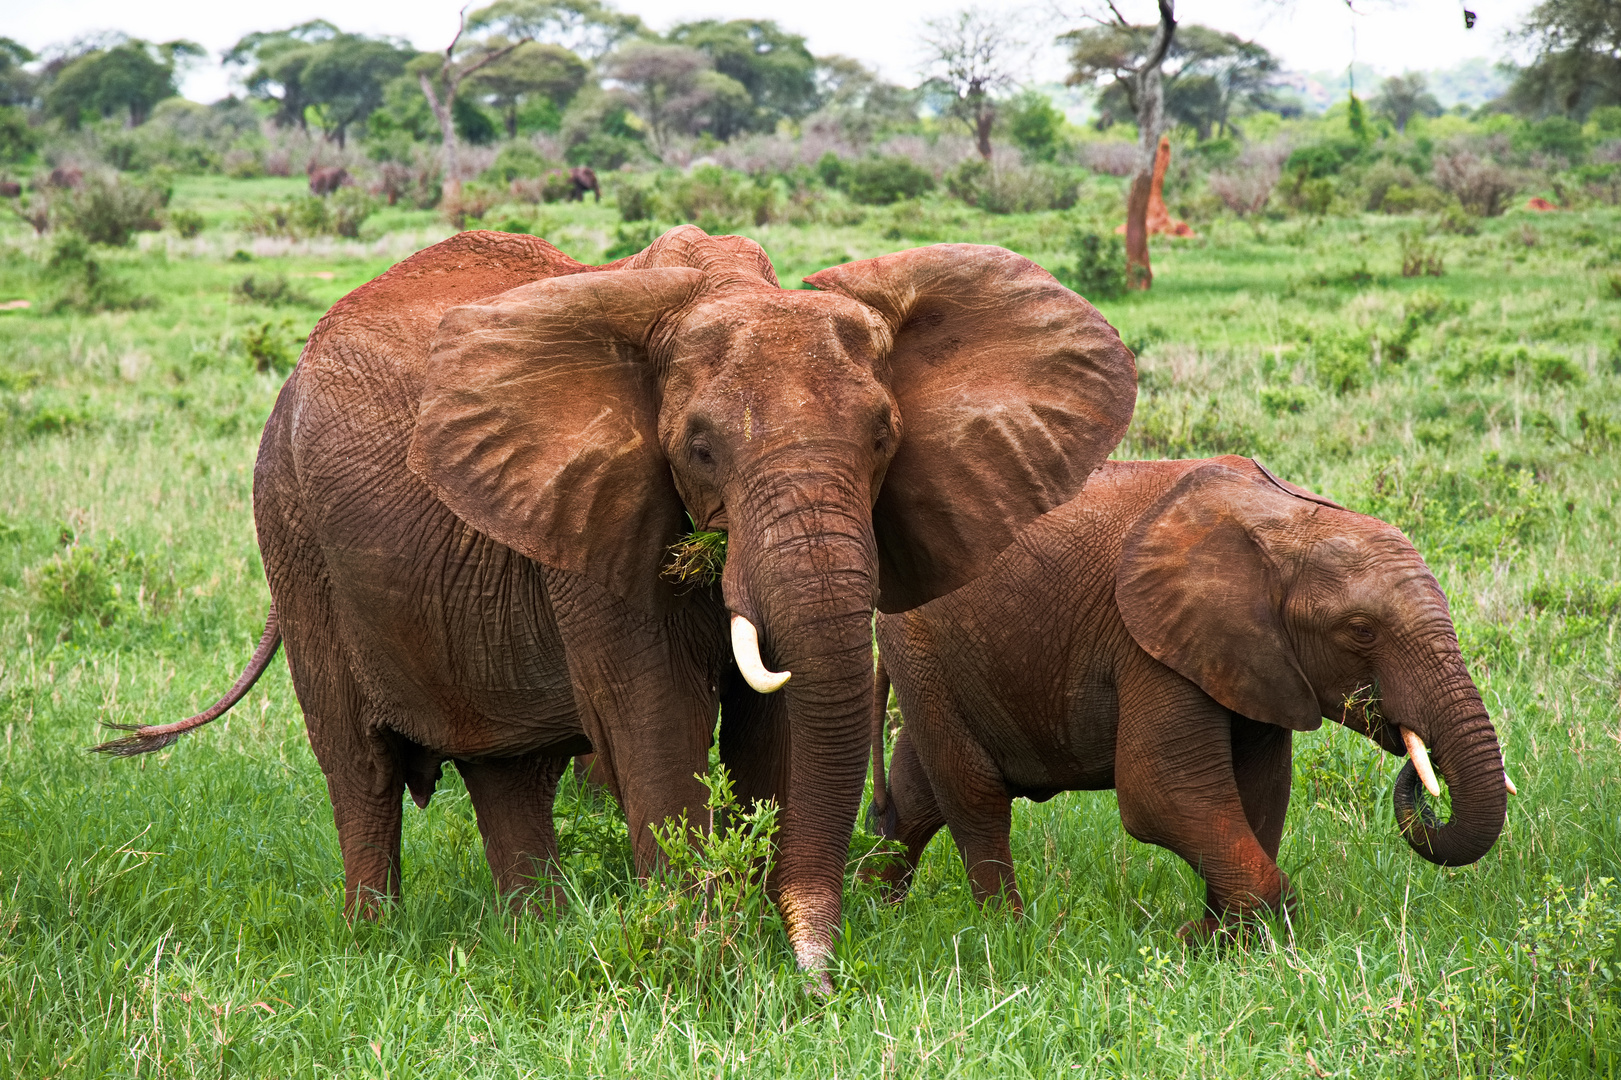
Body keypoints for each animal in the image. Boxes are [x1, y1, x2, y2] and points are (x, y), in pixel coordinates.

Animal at [98, 222, 1141, 979]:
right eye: (701, 448)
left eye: (884, 437)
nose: (823, 972)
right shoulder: (594, 519)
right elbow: (654, 716)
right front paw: (707, 957)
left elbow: (770, 732)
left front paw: (757, 947)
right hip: (292, 533)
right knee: (359, 765)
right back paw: (373, 946)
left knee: (506, 771)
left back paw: (534, 941)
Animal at [868, 454, 1510, 934]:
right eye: (1360, 631)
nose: (1416, 763)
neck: (1287, 520)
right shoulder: (1150, 642)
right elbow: (1162, 795)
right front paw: (1214, 936)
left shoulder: (1255, 659)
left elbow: (1260, 793)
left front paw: (1217, 938)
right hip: (919, 645)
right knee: (974, 795)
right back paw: (1009, 934)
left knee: (917, 794)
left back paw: (876, 916)